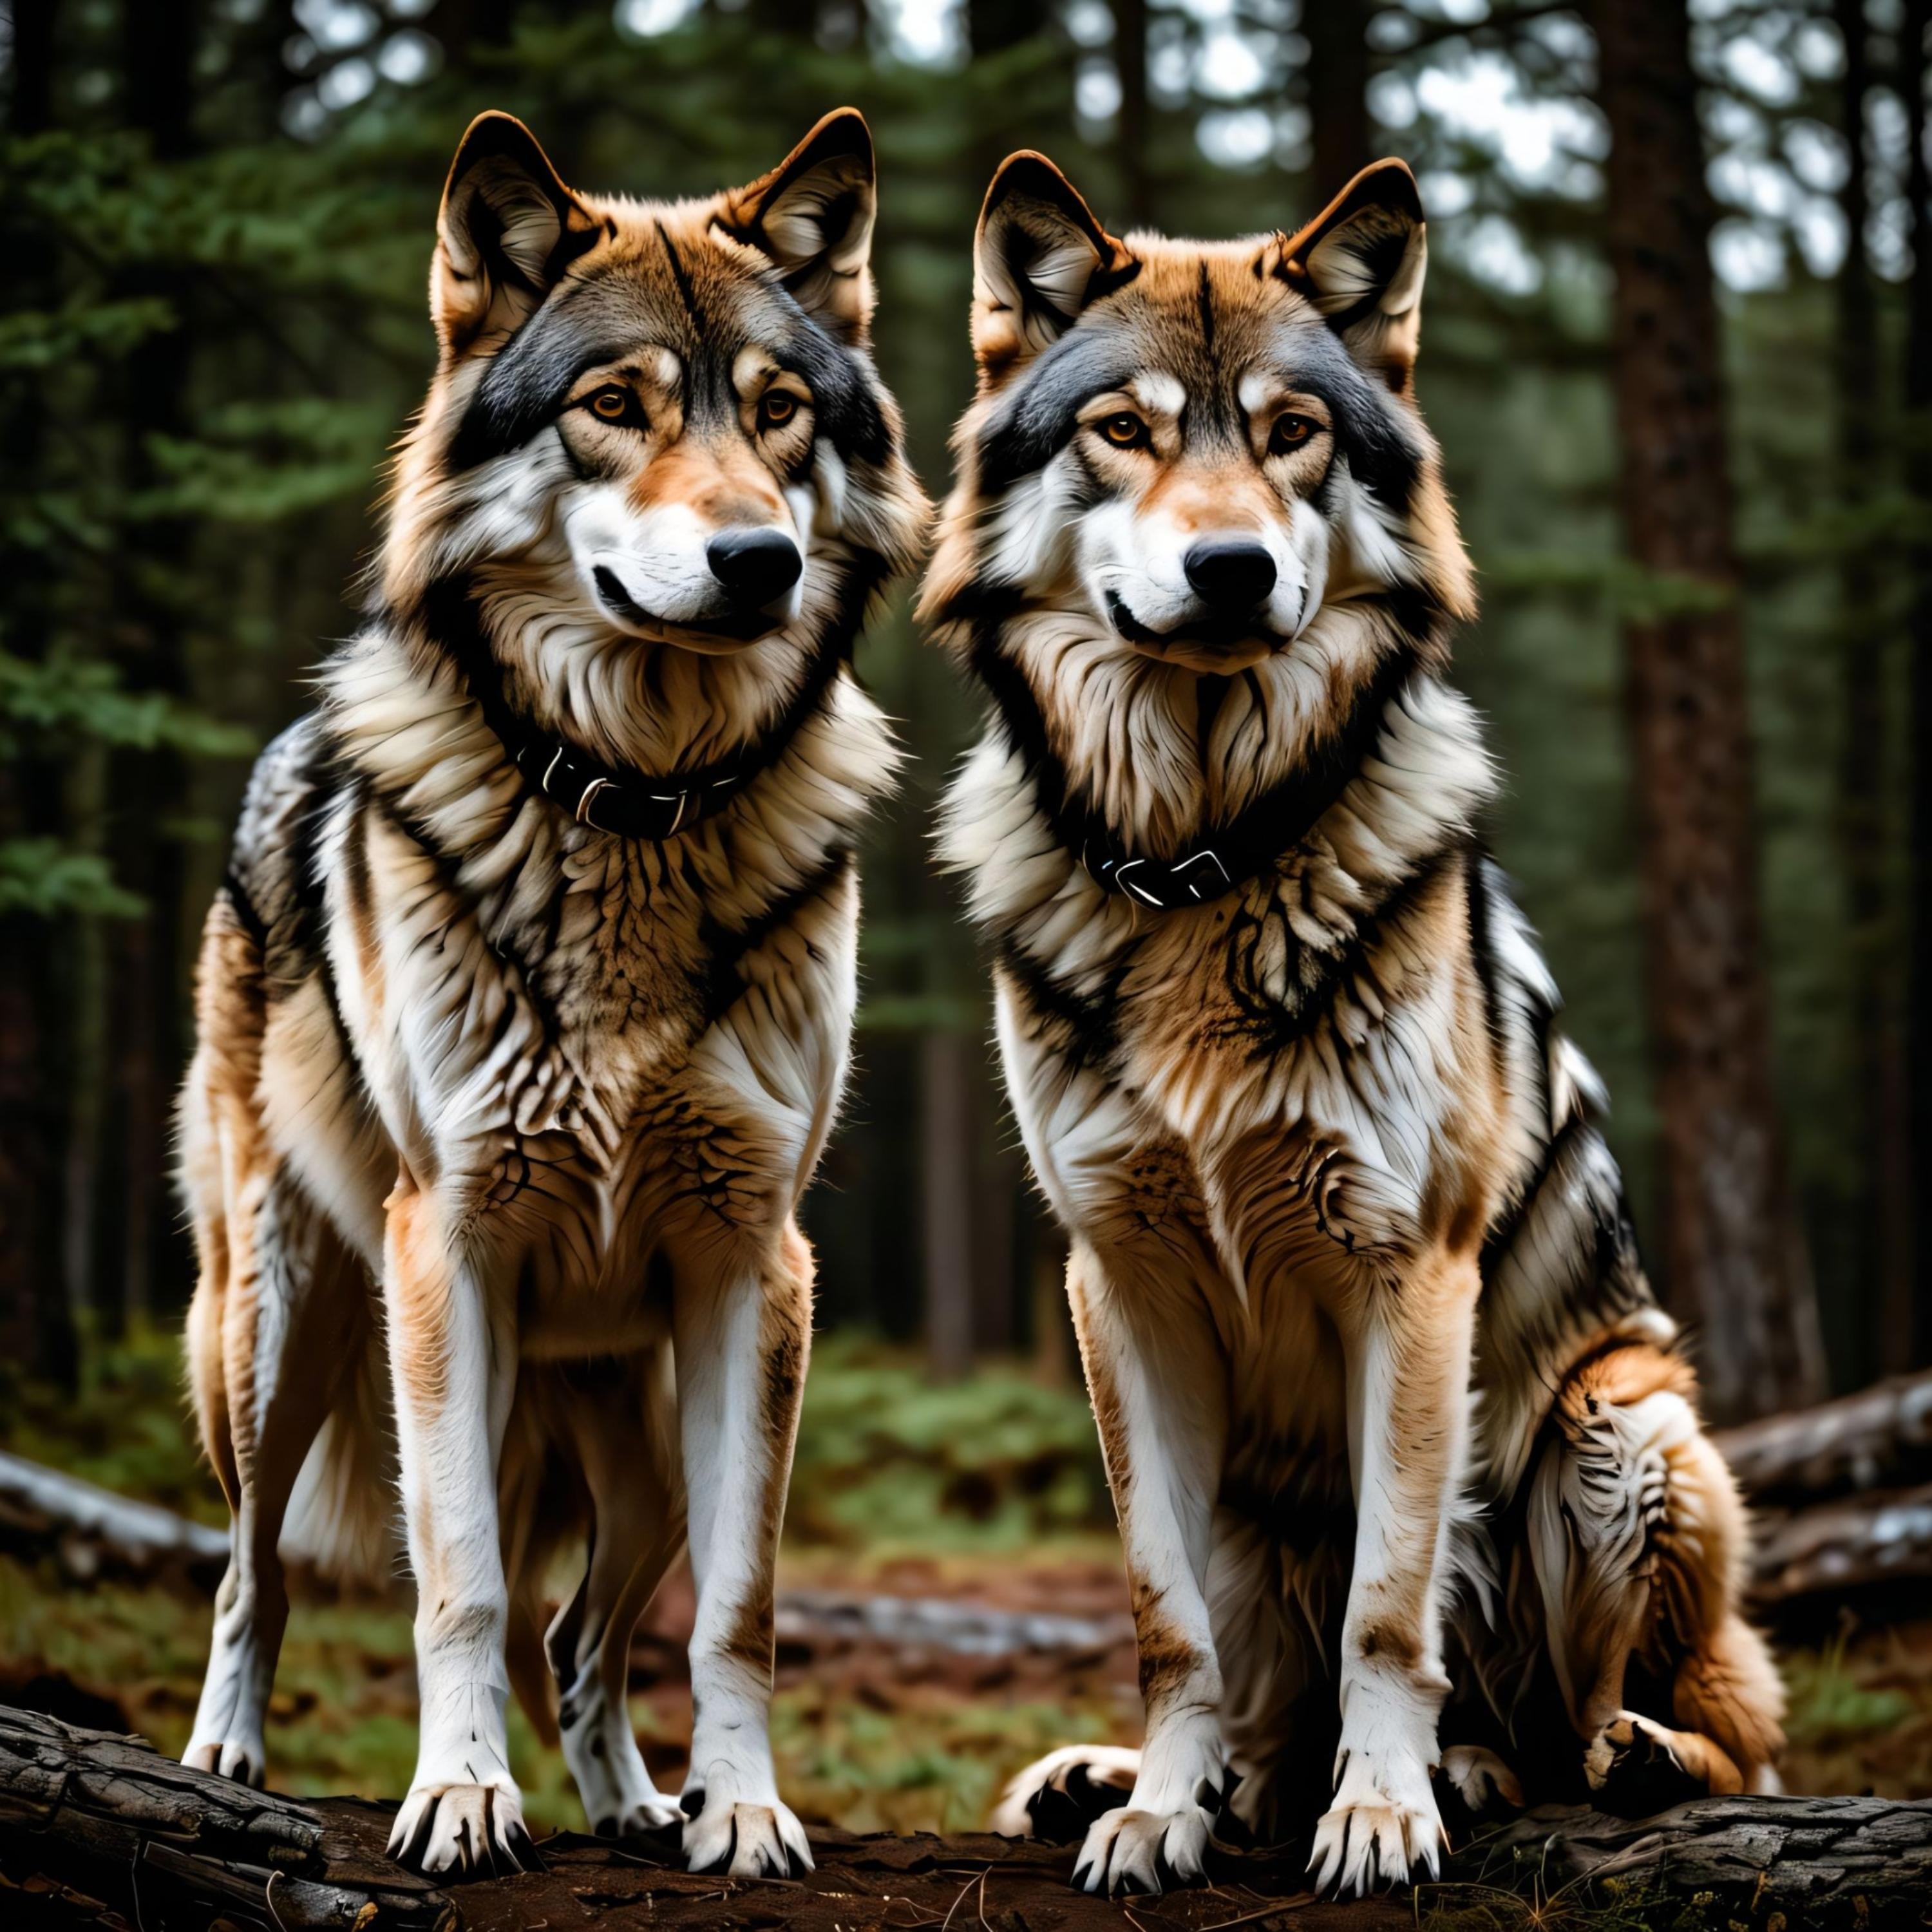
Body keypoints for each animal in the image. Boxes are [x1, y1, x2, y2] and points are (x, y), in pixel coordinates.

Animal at [176, 107, 925, 1879]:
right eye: (614, 406)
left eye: (777, 412)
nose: (758, 560)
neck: (635, 805)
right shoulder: (445, 1249)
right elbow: (452, 1583)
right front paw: (457, 1798)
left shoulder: (755, 1268)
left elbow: (737, 1612)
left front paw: (746, 1811)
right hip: (281, 1333)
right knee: (256, 1563)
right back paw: (228, 1754)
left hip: (635, 1440)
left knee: (584, 1631)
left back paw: (637, 1802)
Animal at [923, 153, 1783, 1897]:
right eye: (1123, 429)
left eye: (1289, 432)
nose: (1233, 572)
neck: (1202, 858)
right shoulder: (1118, 1281)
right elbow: (1162, 1620)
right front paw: (1154, 1812)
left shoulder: (1411, 1270)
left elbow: (1390, 1611)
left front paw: (1380, 1812)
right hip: (1274, 1513)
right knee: (1267, 1711)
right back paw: (1149, 1783)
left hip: (1617, 1425)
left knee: (1678, 1725)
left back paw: (1568, 1762)